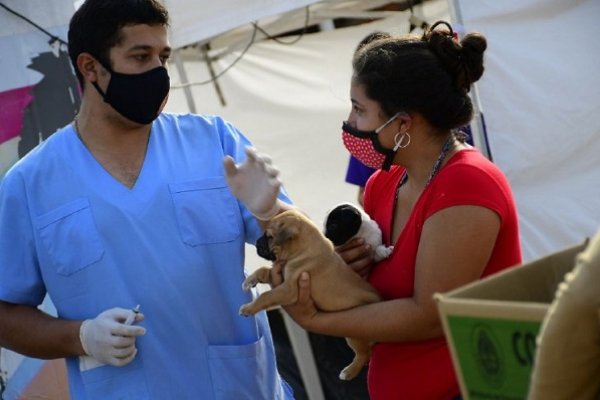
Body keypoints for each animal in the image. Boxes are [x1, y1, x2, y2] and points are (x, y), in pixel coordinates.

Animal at [239, 208, 380, 380]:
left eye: (270, 237)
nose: (258, 242)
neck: (304, 249)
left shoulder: (288, 290)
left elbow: (267, 296)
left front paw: (248, 308)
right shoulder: (282, 276)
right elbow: (264, 270)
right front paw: (249, 281)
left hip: (355, 335)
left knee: (363, 353)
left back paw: (349, 372)